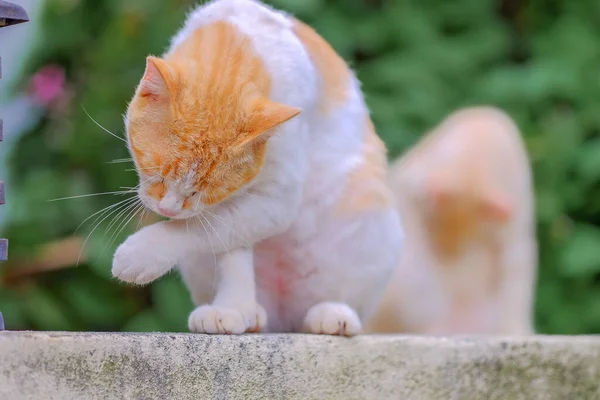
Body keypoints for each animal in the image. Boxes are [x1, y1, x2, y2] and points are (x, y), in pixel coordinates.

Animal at [112, 0, 404, 336]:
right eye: (157, 173)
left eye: (201, 191)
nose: (169, 209)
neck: (240, 39)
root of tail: (284, 319)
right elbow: (229, 247)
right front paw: (232, 309)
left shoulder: (276, 201)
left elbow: (197, 228)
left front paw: (142, 253)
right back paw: (252, 314)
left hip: (369, 220)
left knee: (348, 301)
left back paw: (332, 315)